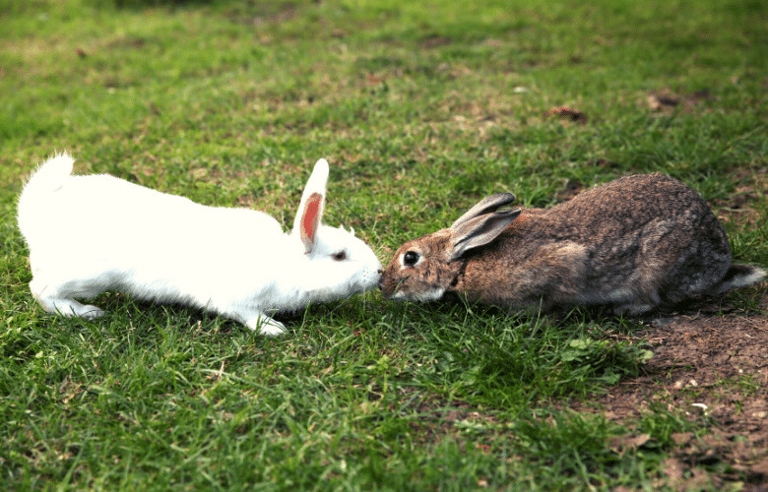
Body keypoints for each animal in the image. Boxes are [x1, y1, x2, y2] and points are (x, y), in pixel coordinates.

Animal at [19, 153, 384, 334]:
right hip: (86, 276)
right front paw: (273, 328)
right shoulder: (234, 300)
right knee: (40, 289)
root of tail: (35, 219)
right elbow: (245, 315)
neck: (284, 266)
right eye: (340, 256)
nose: (380, 272)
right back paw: (84, 312)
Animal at [380, 172, 764, 316]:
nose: (383, 286)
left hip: (658, 265)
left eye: (410, 258)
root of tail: (720, 262)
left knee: (653, 299)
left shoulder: (560, 264)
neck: (465, 262)